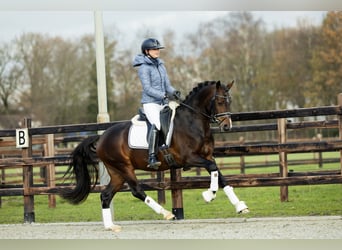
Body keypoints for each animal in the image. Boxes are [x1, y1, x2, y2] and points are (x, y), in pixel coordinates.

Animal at [59, 80, 248, 232]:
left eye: (229, 101)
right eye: (220, 101)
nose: (227, 126)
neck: (193, 122)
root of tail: (102, 137)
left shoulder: (208, 157)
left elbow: (220, 176)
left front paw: (240, 206)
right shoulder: (189, 158)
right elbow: (213, 170)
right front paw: (209, 195)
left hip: (117, 173)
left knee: (105, 195)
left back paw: (111, 226)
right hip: (124, 168)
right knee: (137, 190)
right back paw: (166, 214)